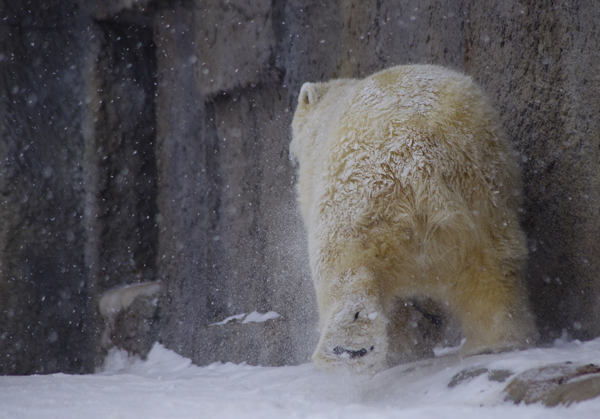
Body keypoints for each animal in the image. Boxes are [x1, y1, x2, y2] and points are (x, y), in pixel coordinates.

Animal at [288, 65, 536, 374]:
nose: (290, 153)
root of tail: (423, 156)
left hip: (361, 191)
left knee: (343, 263)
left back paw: (346, 347)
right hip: (483, 191)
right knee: (493, 265)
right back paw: (495, 342)